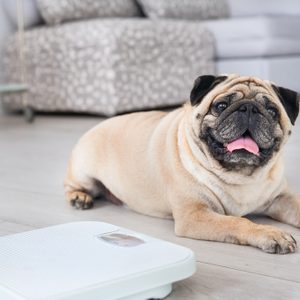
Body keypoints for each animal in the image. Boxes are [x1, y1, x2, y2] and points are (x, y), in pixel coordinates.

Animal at [64, 74, 298, 253]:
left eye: (272, 111)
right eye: (220, 106)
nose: (249, 108)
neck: (240, 175)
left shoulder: (281, 198)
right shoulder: (195, 215)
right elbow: (237, 221)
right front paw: (269, 233)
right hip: (84, 173)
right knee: (71, 185)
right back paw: (79, 197)